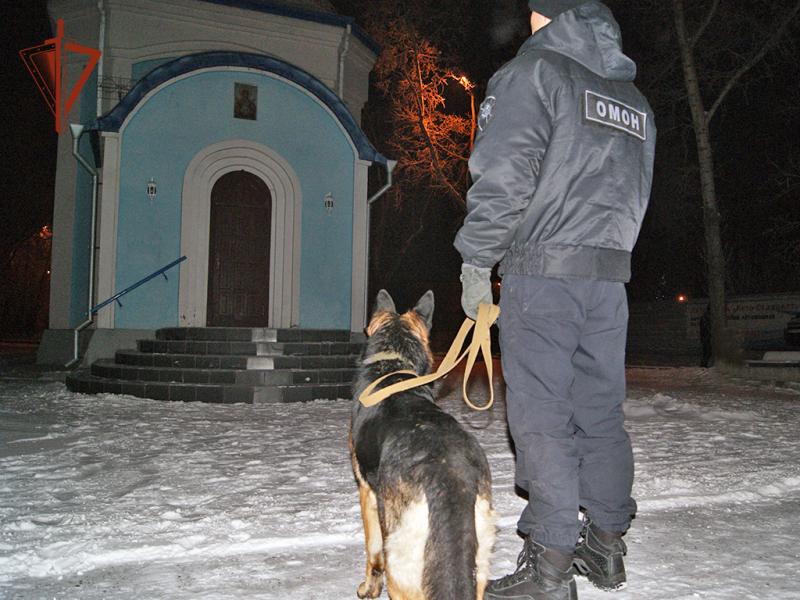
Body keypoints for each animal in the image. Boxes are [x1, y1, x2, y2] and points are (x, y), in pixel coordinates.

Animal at [350, 290, 494, 596]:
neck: (393, 365)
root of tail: (450, 476)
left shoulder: (367, 494)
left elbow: (372, 552)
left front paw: (369, 589)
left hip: (401, 563)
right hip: (476, 565)